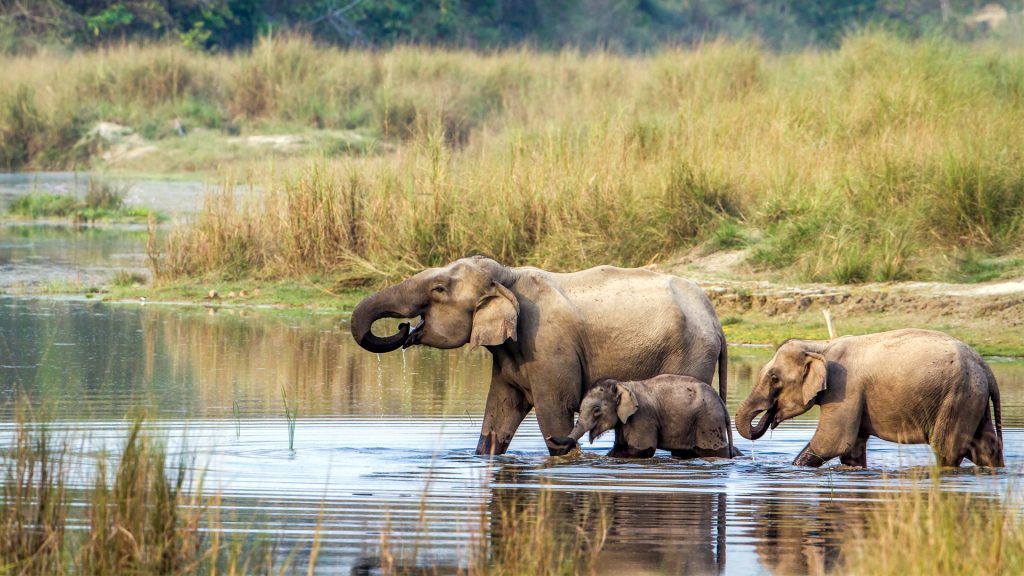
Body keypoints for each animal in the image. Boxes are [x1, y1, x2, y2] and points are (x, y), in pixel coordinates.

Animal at [548, 375, 740, 459]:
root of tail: (721, 403)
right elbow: (619, 449)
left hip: (709, 422)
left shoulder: (642, 418)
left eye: (596, 410)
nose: (549, 436)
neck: (622, 384)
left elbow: (641, 449)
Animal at [735, 329, 1003, 468]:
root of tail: (987, 369)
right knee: (985, 447)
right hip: (972, 399)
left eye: (774, 379)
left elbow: (831, 442)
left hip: (957, 397)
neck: (821, 345)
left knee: (947, 450)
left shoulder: (845, 389)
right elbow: (851, 450)